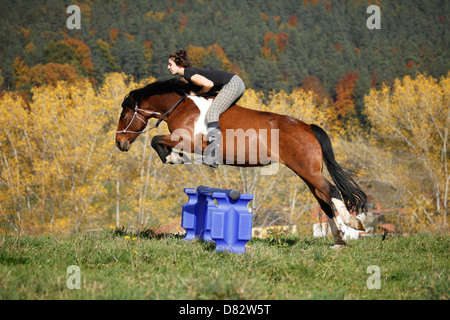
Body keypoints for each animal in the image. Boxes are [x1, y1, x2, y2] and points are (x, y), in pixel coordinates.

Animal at [115, 77, 366, 245]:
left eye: (124, 115)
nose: (120, 143)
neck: (181, 106)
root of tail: (308, 127)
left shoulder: (188, 139)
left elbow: (156, 140)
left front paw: (173, 157)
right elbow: (160, 142)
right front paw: (176, 157)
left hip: (308, 171)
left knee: (331, 190)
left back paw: (353, 224)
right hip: (307, 173)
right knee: (324, 201)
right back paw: (338, 241)